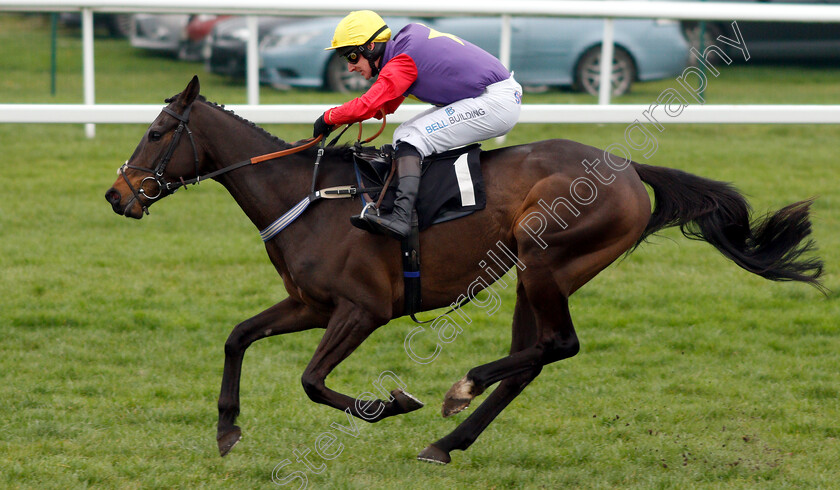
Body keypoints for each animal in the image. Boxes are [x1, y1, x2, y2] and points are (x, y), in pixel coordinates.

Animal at [105, 75, 820, 464]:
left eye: (158, 131)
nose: (117, 196)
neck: (309, 198)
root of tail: (627, 167)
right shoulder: (310, 304)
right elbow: (237, 337)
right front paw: (227, 429)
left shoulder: (362, 309)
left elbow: (311, 381)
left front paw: (391, 403)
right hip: (533, 274)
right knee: (533, 359)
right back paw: (448, 441)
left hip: (546, 259)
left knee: (558, 344)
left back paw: (460, 389)